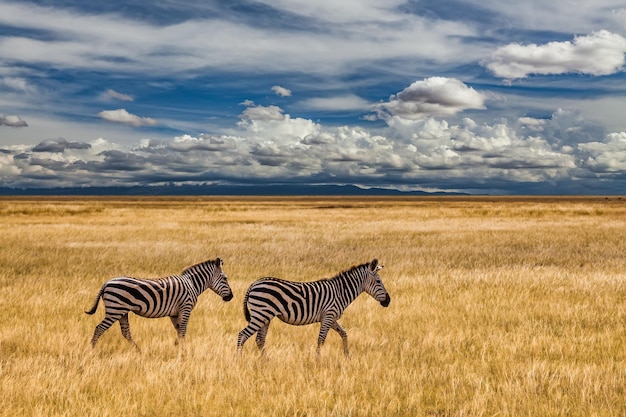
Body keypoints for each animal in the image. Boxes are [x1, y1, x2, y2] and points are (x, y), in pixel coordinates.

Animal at [82, 256, 229, 348]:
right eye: (225, 278)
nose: (231, 297)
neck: (192, 284)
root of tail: (107, 282)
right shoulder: (185, 307)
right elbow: (182, 330)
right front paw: (183, 350)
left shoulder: (174, 313)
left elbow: (178, 330)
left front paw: (177, 347)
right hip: (115, 310)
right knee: (99, 328)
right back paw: (92, 349)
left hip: (121, 311)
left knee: (125, 332)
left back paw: (138, 351)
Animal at [235, 256, 388, 354]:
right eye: (378, 282)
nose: (388, 301)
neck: (340, 292)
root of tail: (254, 284)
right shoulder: (328, 316)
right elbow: (321, 339)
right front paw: (318, 360)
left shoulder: (331, 318)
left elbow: (344, 333)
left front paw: (347, 356)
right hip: (260, 314)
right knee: (243, 335)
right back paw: (238, 360)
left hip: (265, 316)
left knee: (260, 339)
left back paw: (266, 361)